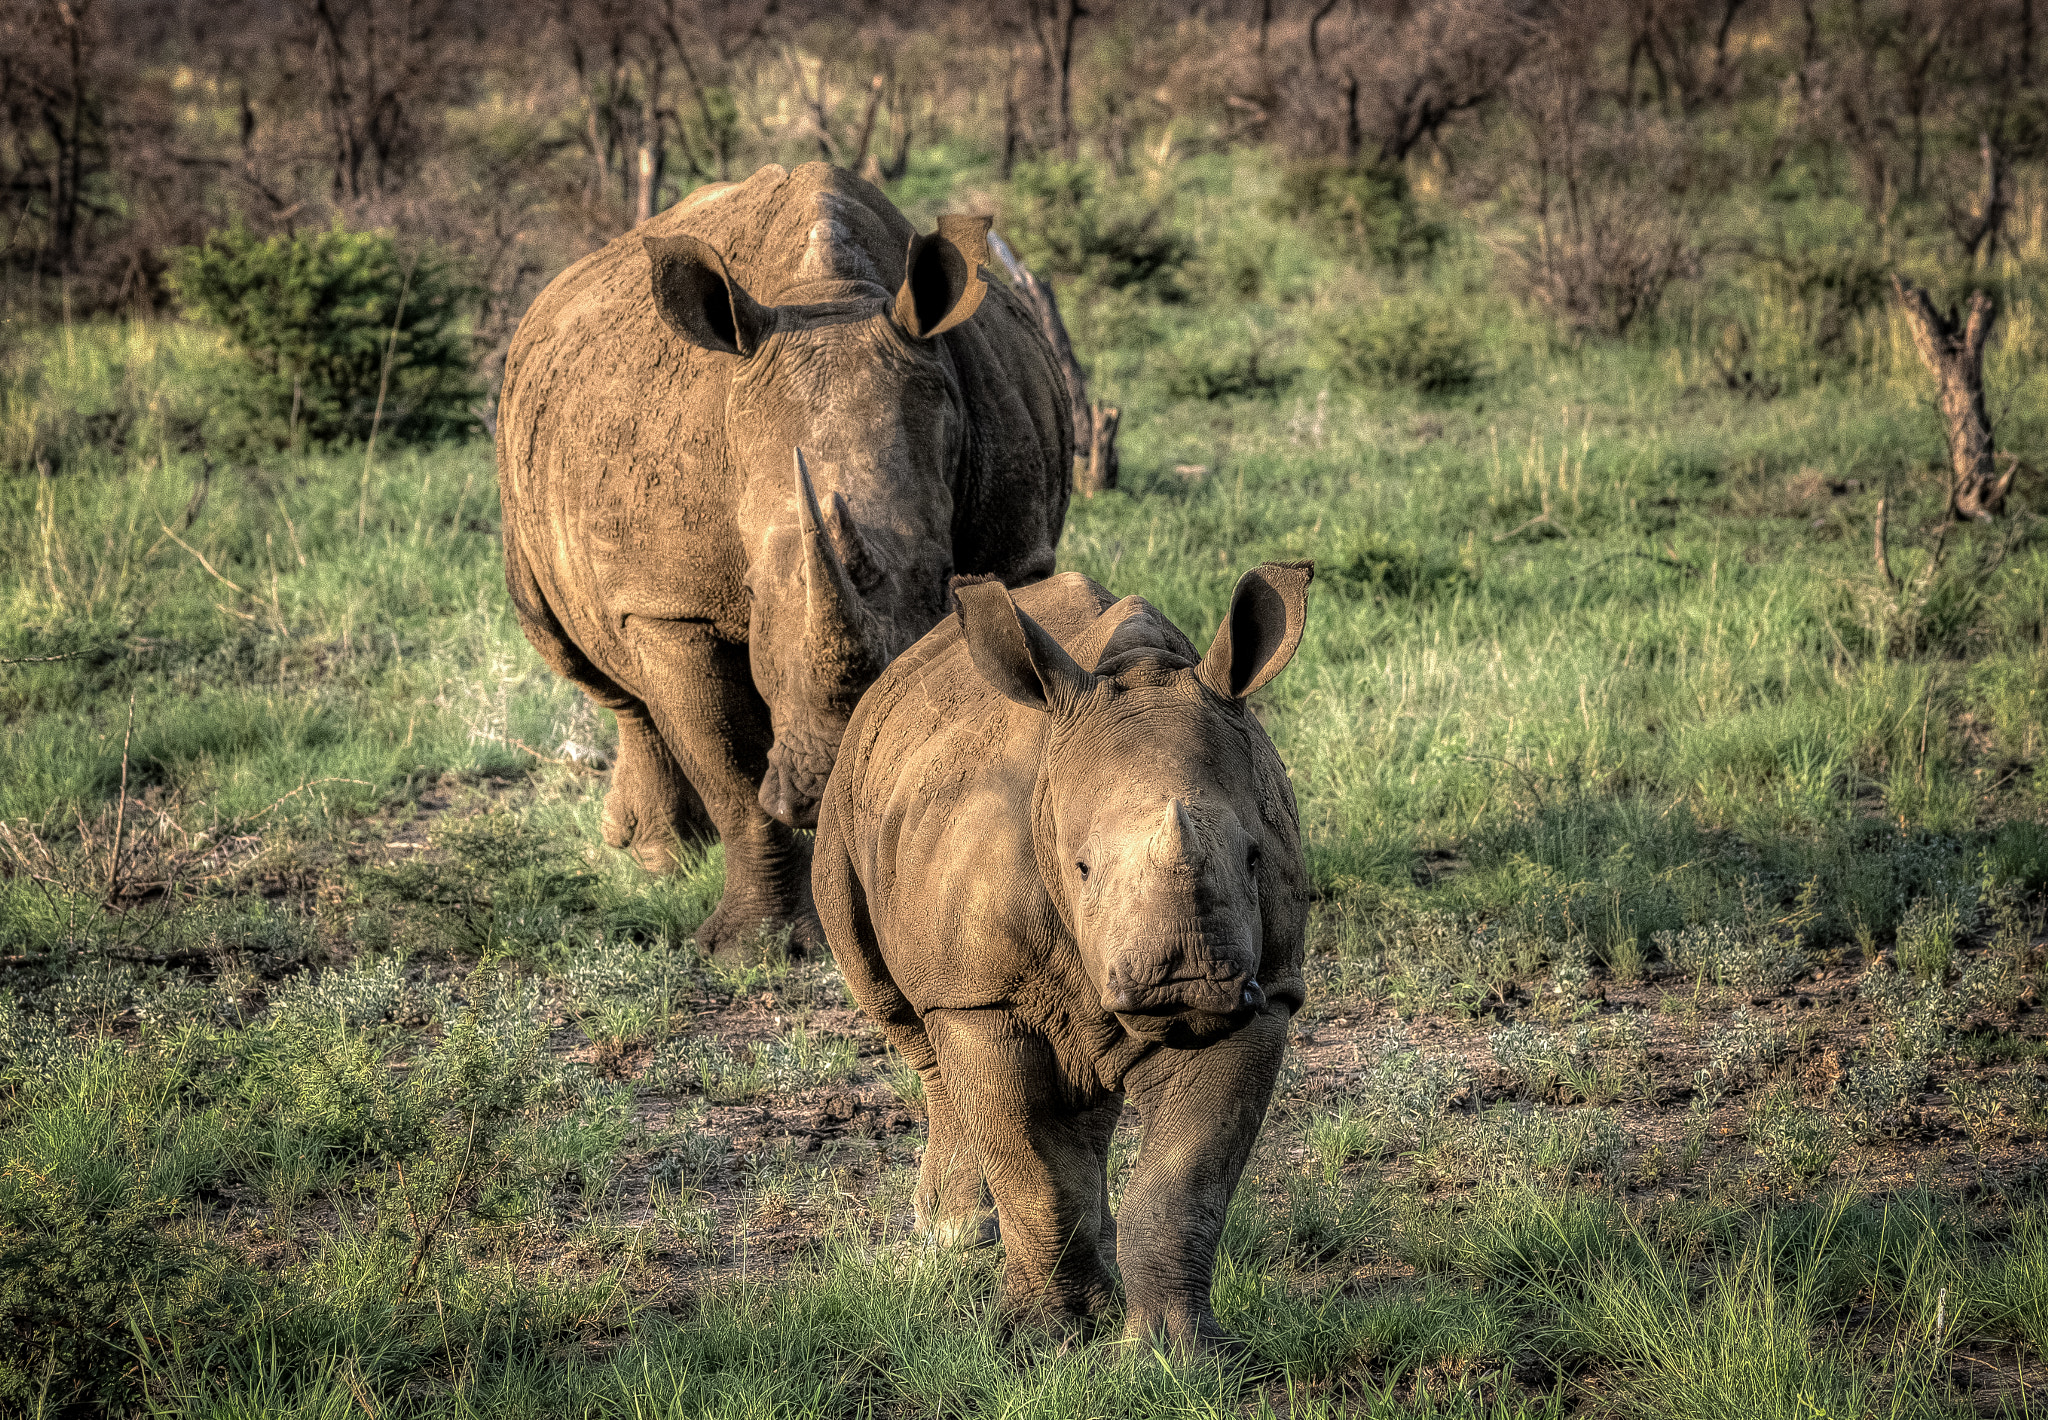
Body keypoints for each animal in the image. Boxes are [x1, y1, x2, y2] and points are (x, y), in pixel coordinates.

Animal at [497, 164, 1072, 958]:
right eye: (752, 590)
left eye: (942, 581)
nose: (829, 783)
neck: (825, 296)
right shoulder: (670, 603)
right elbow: (731, 768)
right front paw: (753, 947)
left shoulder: (1017, 554)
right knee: (586, 660)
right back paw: (657, 856)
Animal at [813, 562, 1314, 1355]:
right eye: (1080, 868)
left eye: (1254, 857)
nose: (1186, 978)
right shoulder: (982, 993)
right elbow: (1032, 1169)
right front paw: (1045, 1338)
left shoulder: (1266, 994)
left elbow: (1185, 1185)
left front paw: (1177, 1353)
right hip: (853, 800)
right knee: (913, 1029)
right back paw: (957, 1238)